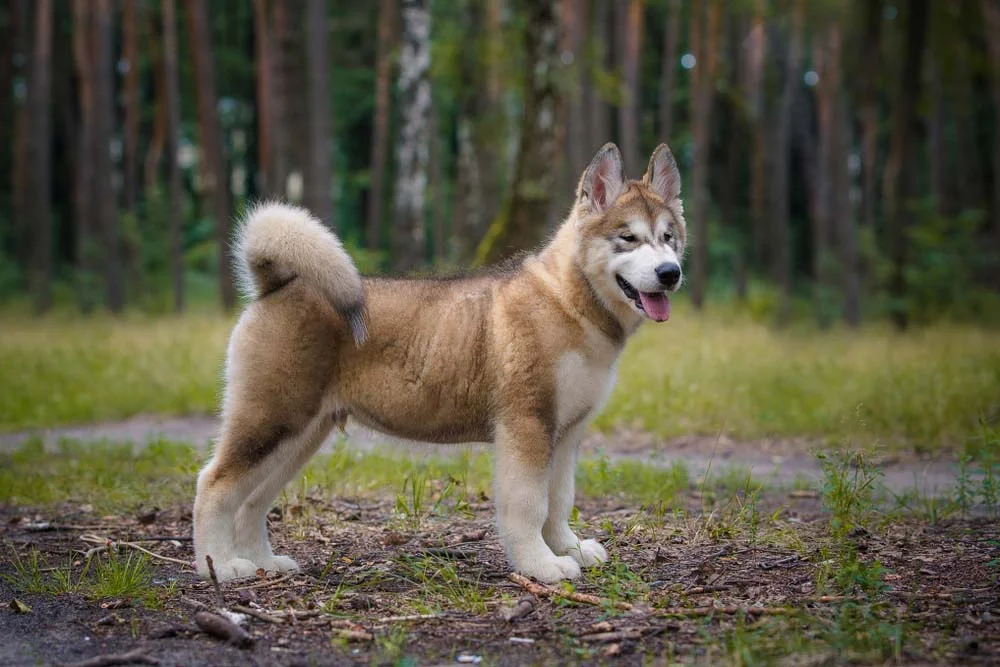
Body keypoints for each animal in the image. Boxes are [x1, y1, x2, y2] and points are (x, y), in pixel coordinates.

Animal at [191, 144, 684, 580]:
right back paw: (221, 566)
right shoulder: (527, 426)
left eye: (668, 238)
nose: (670, 273)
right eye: (628, 238)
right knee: (214, 485)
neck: (569, 302)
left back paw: (262, 562)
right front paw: (541, 565)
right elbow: (530, 506)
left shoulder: (565, 435)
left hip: (299, 435)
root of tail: (279, 284)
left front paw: (569, 549)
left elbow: (559, 502)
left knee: (253, 500)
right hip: (270, 420)